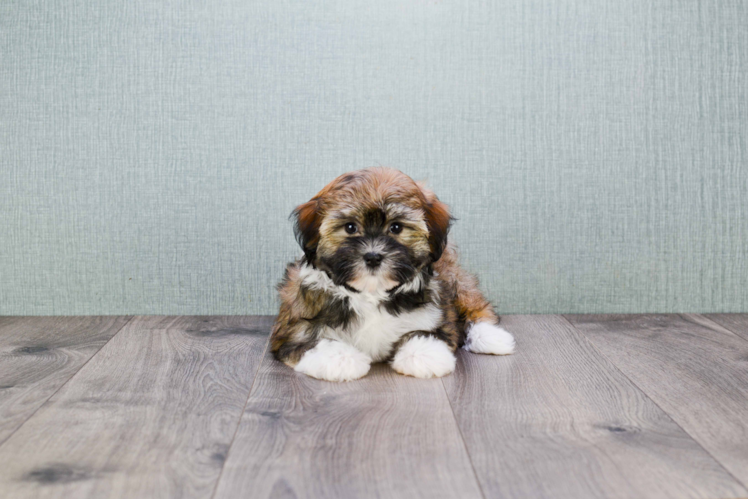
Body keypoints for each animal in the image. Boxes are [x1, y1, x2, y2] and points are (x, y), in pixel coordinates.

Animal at [270, 166, 516, 380]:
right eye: (350, 227)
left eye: (396, 227)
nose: (373, 256)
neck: (371, 293)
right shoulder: (293, 329)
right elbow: (312, 344)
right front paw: (342, 359)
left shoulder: (438, 316)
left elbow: (427, 332)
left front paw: (423, 354)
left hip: (454, 278)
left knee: (474, 304)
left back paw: (492, 337)